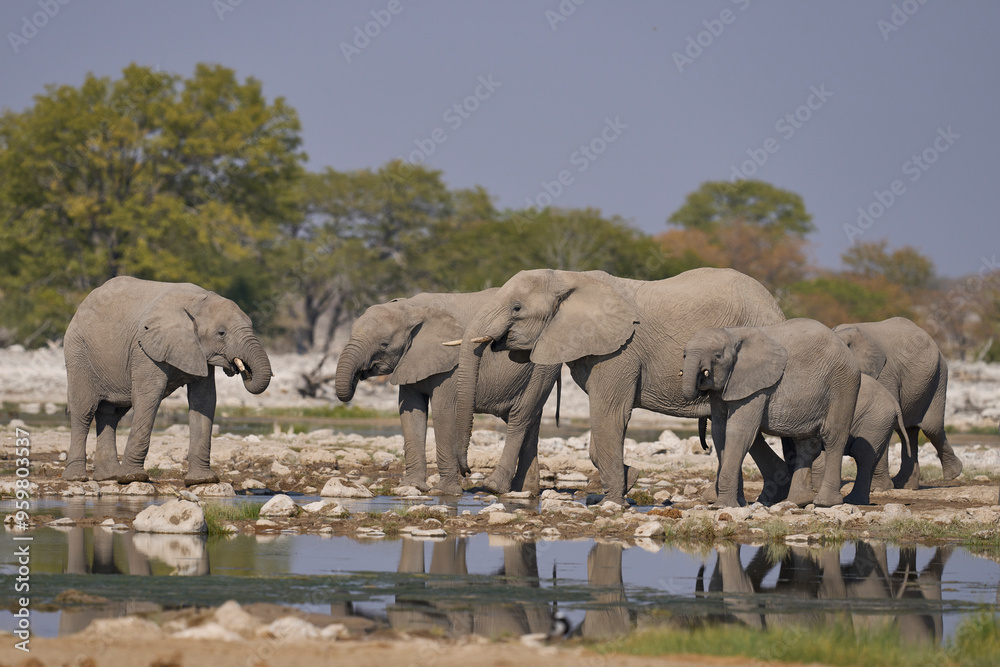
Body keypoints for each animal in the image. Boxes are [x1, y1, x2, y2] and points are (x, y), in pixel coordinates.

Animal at [62, 276, 272, 485]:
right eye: (221, 333)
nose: (243, 370)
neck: (198, 302)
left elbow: (205, 400)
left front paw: (202, 481)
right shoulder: (145, 348)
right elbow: (149, 397)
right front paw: (133, 477)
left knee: (111, 413)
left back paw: (109, 476)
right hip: (78, 351)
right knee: (84, 411)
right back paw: (77, 477)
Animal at [334, 290, 561, 495]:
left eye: (384, 344)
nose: (467, 471)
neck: (410, 308)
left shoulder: (450, 366)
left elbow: (443, 411)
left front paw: (444, 492)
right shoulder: (409, 360)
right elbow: (411, 412)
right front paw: (412, 487)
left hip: (542, 368)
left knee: (519, 417)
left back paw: (495, 487)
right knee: (530, 421)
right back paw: (525, 491)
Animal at [452, 267, 789, 507]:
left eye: (517, 309)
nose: (466, 473)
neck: (569, 277)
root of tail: (777, 307)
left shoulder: (620, 351)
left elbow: (610, 415)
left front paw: (614, 500)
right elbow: (602, 428)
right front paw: (629, 480)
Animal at [682, 318, 862, 507]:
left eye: (717, 356)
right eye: (684, 355)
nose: (704, 447)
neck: (732, 333)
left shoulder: (756, 386)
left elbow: (738, 431)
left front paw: (724, 506)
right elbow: (719, 431)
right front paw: (737, 504)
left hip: (843, 383)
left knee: (833, 436)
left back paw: (825, 503)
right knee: (805, 443)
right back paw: (798, 501)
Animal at [834, 317, 962, 489]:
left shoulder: (884, 374)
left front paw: (877, 488)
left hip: (938, 377)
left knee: (932, 428)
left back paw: (953, 474)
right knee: (908, 431)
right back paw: (905, 485)